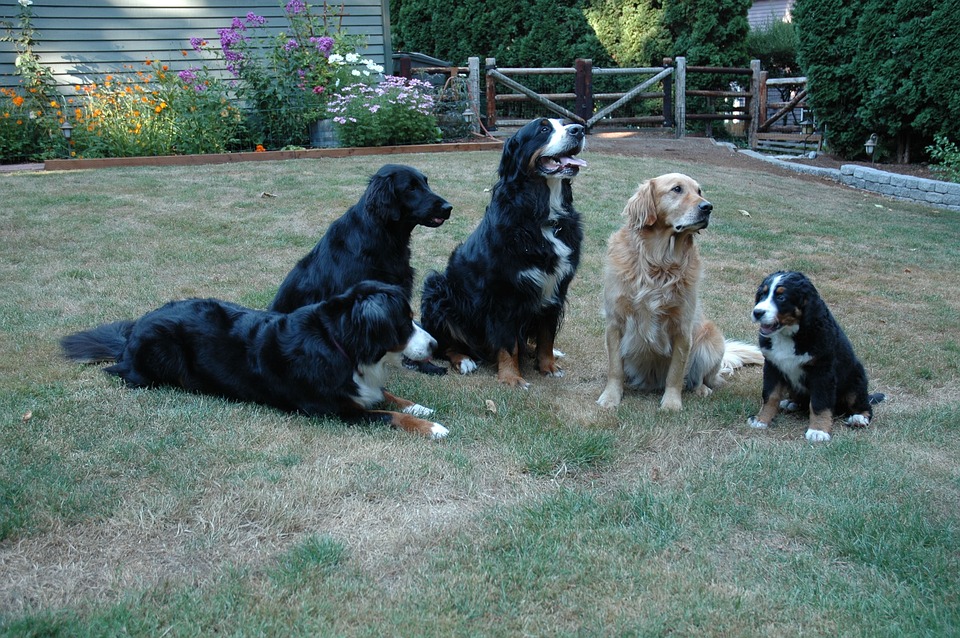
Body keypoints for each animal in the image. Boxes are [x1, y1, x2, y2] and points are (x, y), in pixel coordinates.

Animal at [62, 282, 448, 440]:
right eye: (403, 323)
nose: (435, 344)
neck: (341, 346)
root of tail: (134, 331)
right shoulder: (334, 410)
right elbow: (387, 414)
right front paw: (432, 427)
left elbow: (387, 396)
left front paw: (420, 407)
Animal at [420, 119, 584, 390]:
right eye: (543, 129)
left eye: (563, 123)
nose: (579, 129)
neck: (540, 215)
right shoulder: (504, 295)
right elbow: (508, 343)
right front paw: (512, 377)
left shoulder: (555, 288)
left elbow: (547, 335)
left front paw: (548, 365)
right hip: (437, 289)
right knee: (443, 345)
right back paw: (464, 360)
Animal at [752, 272, 884, 444]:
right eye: (762, 294)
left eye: (781, 298)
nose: (757, 312)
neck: (789, 335)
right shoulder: (772, 366)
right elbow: (770, 396)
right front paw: (761, 420)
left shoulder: (822, 371)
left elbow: (819, 403)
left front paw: (818, 431)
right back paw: (790, 403)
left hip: (856, 379)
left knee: (864, 405)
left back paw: (859, 418)